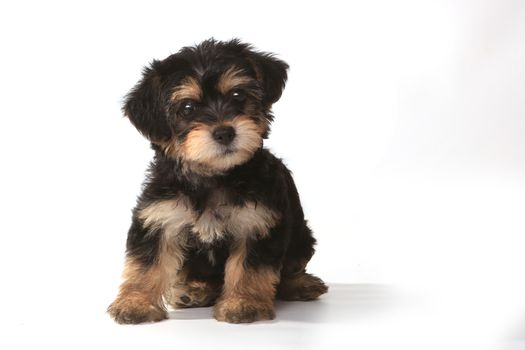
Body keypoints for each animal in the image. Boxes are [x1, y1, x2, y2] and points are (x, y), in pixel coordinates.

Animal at [106, 37, 326, 322]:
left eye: (238, 95)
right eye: (187, 108)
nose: (224, 133)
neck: (213, 176)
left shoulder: (257, 222)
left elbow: (250, 268)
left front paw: (243, 303)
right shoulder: (160, 217)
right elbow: (146, 263)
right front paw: (136, 303)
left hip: (302, 237)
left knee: (291, 268)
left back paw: (301, 284)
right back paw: (194, 291)